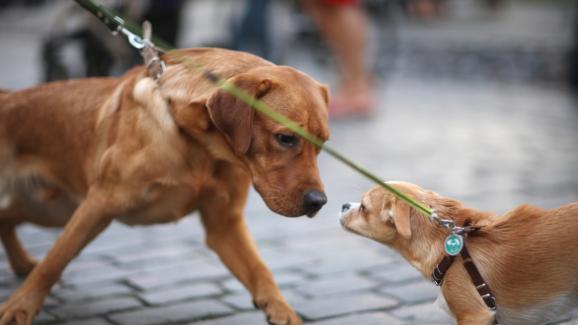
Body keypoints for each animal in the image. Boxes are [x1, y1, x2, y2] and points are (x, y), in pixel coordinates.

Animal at [0, 48, 328, 324]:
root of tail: (8, 98)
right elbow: (53, 262)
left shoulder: (224, 224)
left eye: (322, 144)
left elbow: (261, 270)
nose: (319, 202)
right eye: (286, 138)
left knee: (6, 216)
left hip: (51, 208)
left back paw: (20, 262)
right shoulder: (99, 204)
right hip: (62, 209)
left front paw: (282, 312)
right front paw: (18, 309)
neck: (201, 146)